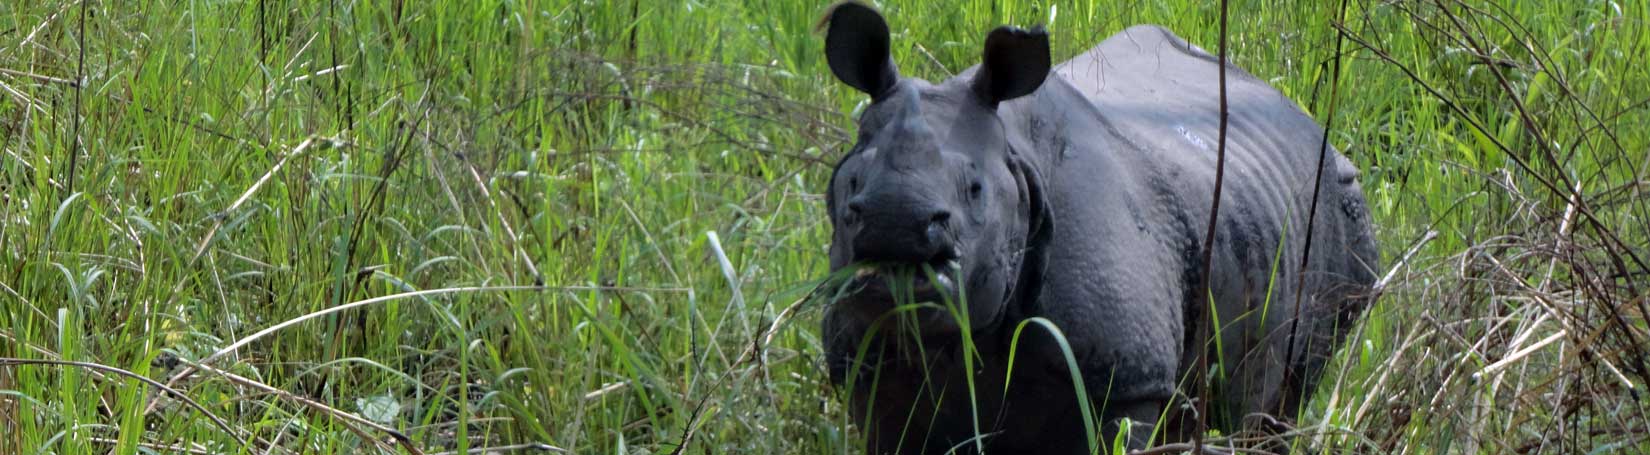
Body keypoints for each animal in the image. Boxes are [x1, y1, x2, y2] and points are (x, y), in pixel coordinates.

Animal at [821, 2, 1379, 451]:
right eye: (852, 190)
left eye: (974, 190)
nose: (894, 226)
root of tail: (1304, 118)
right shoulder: (867, 371)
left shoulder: (1127, 382)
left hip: (1342, 211)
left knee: (1279, 406)